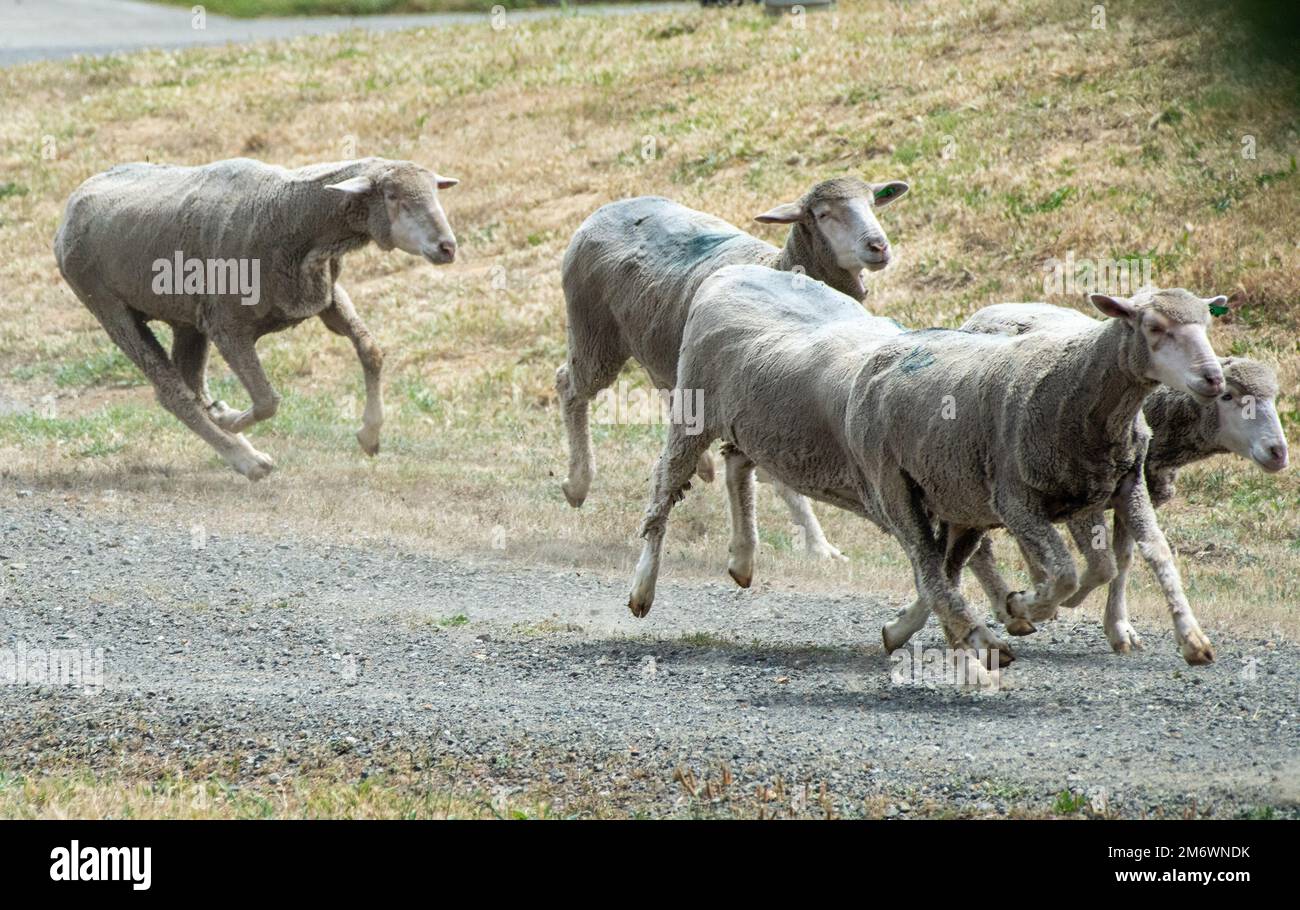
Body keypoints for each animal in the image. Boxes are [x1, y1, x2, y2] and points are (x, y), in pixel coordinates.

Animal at [55, 156, 462, 483]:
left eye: (435, 192)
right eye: (392, 196)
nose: (447, 247)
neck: (288, 213)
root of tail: (73, 201)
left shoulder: (325, 297)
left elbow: (371, 352)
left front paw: (370, 435)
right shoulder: (227, 325)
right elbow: (267, 401)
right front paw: (231, 422)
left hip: (186, 318)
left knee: (191, 382)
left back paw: (229, 428)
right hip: (108, 307)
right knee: (174, 393)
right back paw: (247, 459)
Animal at [629, 267, 1227, 660]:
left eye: (1207, 325)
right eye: (1154, 327)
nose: (1214, 379)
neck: (1072, 381)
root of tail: (730, 273)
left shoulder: (1116, 486)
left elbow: (1147, 555)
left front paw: (1191, 637)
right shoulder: (1016, 501)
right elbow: (1063, 572)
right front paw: (1024, 605)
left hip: (774, 429)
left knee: (741, 465)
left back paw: (745, 559)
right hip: (703, 419)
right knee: (662, 499)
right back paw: (642, 590)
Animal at [951, 304, 1284, 647]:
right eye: (1227, 396)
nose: (1278, 452)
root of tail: (988, 310)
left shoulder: (1135, 493)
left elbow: (1124, 559)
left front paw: (1118, 626)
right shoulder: (1085, 499)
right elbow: (1101, 567)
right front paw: (1065, 601)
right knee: (982, 545)